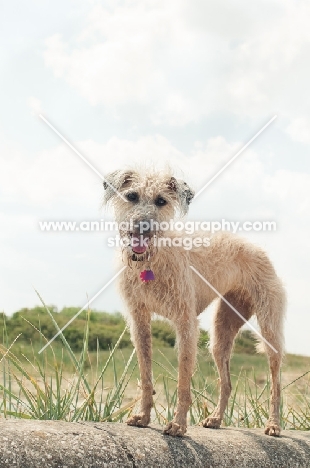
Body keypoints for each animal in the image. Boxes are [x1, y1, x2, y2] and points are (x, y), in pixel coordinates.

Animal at [103, 169, 286, 438]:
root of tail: (256, 248)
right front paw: (143, 416)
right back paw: (216, 419)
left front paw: (178, 425)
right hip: (221, 332)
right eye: (131, 196)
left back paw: (273, 424)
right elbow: (146, 375)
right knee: (226, 383)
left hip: (269, 329)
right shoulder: (139, 321)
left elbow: (183, 380)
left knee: (275, 383)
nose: (142, 227)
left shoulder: (186, 323)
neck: (152, 260)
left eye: (161, 200)